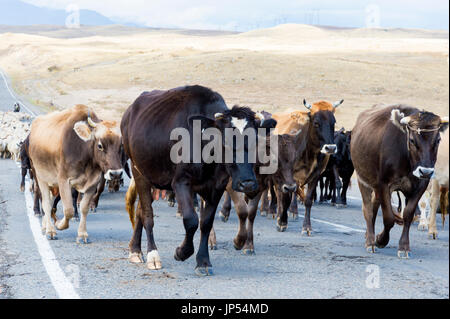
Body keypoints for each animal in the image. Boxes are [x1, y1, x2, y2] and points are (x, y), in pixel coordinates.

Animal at [28, 105, 124, 242]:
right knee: (45, 202)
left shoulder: (92, 183)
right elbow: (69, 210)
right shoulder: (63, 180)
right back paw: (50, 230)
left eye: (121, 145)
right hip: (40, 176)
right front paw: (59, 224)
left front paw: (82, 234)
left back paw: (45, 225)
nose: (115, 174)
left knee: (50, 202)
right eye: (100, 145)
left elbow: (83, 208)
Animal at [121, 86, 272, 276]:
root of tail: (129, 111)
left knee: (140, 211)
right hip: (138, 172)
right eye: (225, 142)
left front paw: (203, 261)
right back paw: (152, 255)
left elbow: (205, 223)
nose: (248, 183)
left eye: (256, 141)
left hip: (153, 178)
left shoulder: (216, 187)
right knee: (147, 214)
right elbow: (191, 220)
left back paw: (135, 250)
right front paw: (182, 252)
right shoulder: (181, 182)